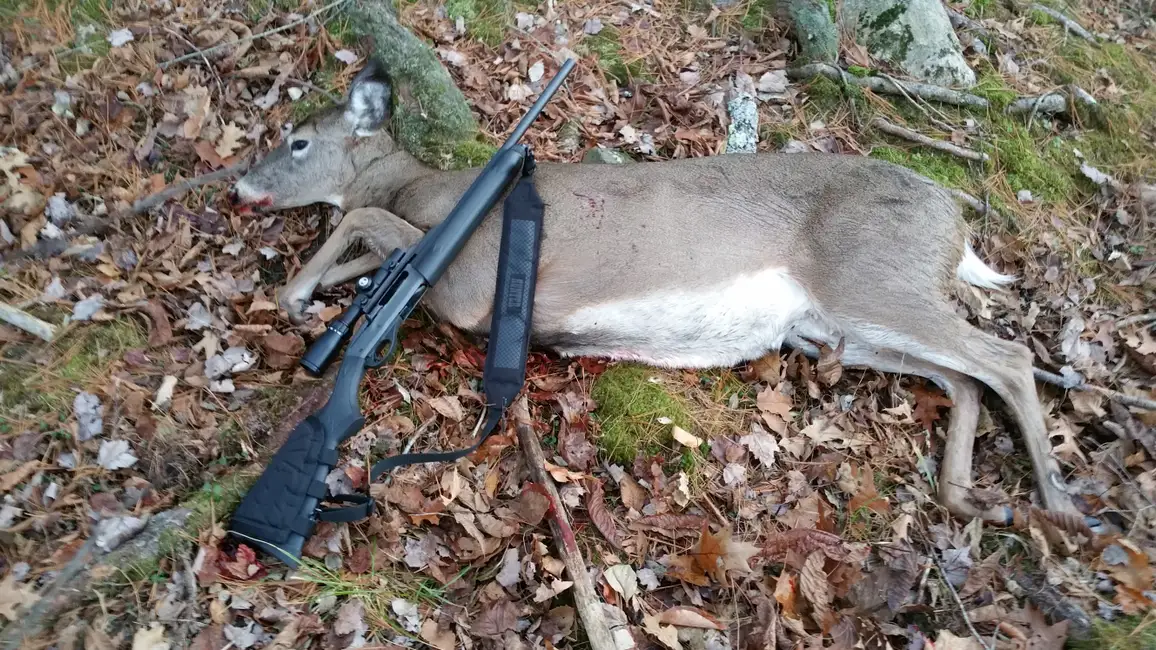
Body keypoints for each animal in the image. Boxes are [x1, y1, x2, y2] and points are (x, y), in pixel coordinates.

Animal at [227, 59, 1081, 527]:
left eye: (297, 141)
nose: (238, 185)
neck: (425, 186)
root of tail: (957, 224)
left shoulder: (469, 280)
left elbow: (363, 220)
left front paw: (296, 297)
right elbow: (366, 250)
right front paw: (319, 293)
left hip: (871, 279)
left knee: (1005, 356)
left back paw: (1058, 502)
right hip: (836, 323)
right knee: (965, 378)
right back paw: (971, 498)